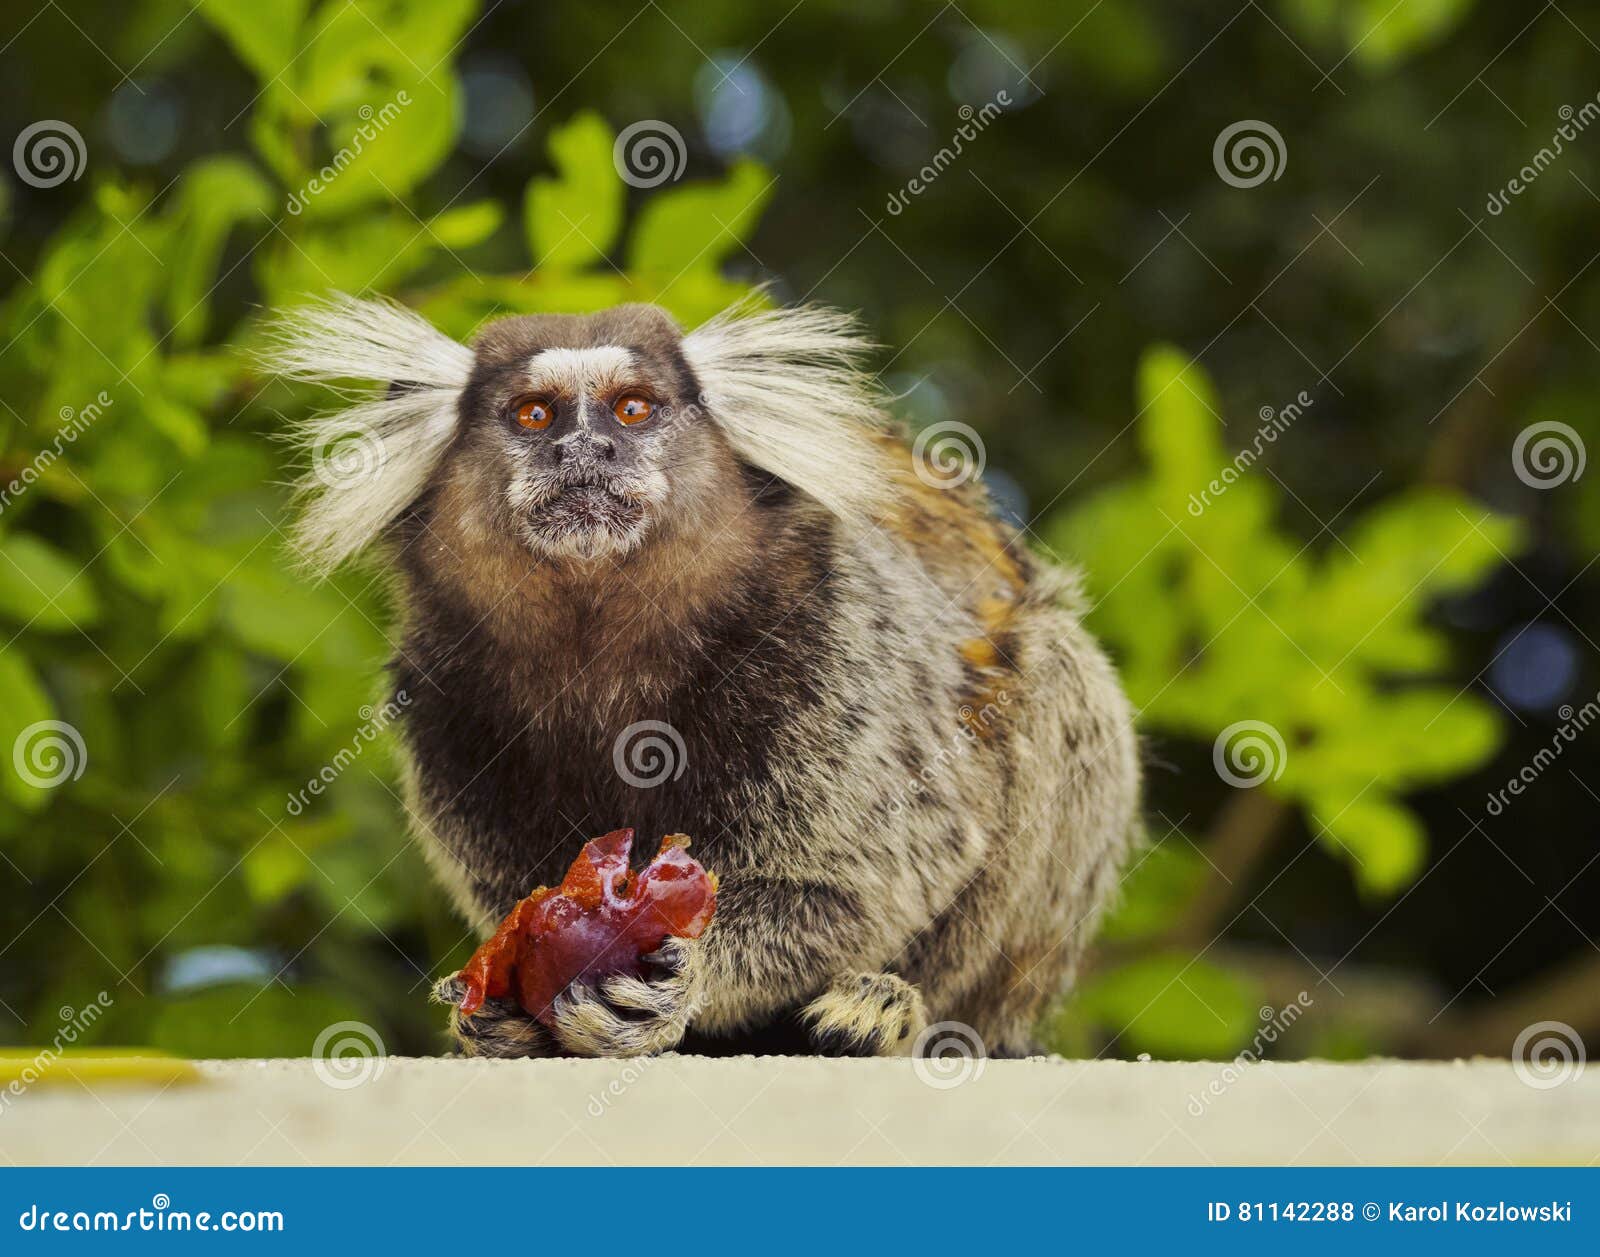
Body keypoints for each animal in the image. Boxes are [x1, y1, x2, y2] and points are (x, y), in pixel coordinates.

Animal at [265, 295, 1139, 1055]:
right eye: (534, 415)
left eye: (633, 409)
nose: (584, 451)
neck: (601, 644)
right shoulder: (443, 694)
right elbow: (518, 894)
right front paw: (505, 1017)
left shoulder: (832, 637)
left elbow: (864, 883)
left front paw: (682, 983)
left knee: (1055, 672)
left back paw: (893, 1010)